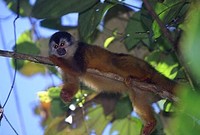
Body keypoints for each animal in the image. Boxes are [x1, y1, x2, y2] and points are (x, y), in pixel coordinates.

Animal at [48, 31, 177, 134]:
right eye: (56, 46)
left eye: (62, 44)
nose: (60, 51)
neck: (69, 55)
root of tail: (150, 68)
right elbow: (73, 83)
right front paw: (65, 95)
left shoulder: (80, 51)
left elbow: (78, 69)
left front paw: (54, 59)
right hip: (139, 90)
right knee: (138, 102)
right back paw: (151, 122)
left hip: (138, 63)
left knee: (116, 61)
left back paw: (144, 77)